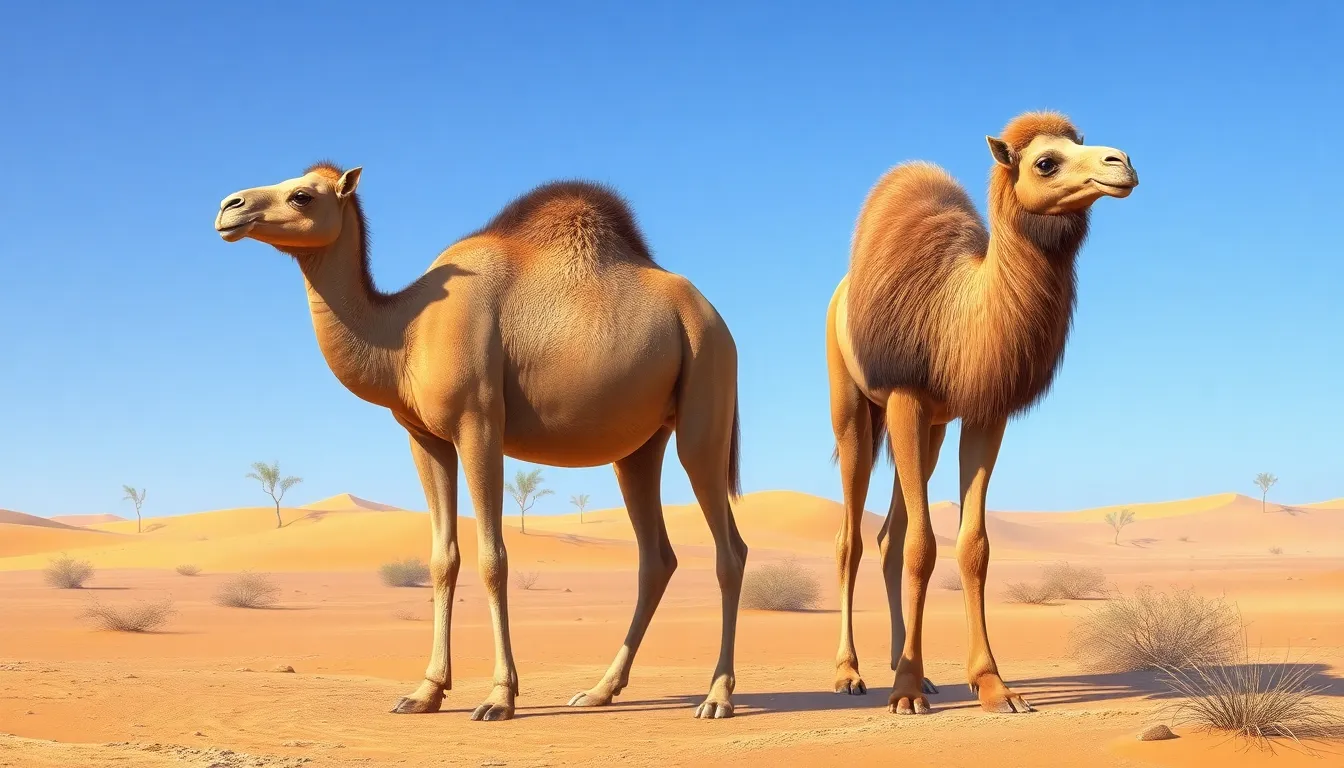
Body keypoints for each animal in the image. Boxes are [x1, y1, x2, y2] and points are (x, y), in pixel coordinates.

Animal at [213, 164, 746, 721]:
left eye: (302, 195)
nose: (229, 208)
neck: (405, 332)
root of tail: (714, 317)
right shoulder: (424, 437)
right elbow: (442, 559)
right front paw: (425, 692)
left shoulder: (479, 423)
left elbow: (494, 558)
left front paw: (499, 697)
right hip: (639, 446)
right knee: (655, 556)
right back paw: (599, 690)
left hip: (706, 384)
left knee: (729, 548)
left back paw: (716, 697)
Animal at [825, 112, 1137, 714]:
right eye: (1046, 161)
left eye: (1081, 142)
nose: (1124, 163)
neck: (960, 316)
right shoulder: (906, 396)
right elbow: (924, 546)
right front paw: (903, 692)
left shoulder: (983, 411)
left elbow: (973, 546)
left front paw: (993, 685)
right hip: (853, 406)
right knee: (852, 539)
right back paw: (851, 674)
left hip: (932, 428)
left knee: (889, 536)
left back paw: (916, 672)